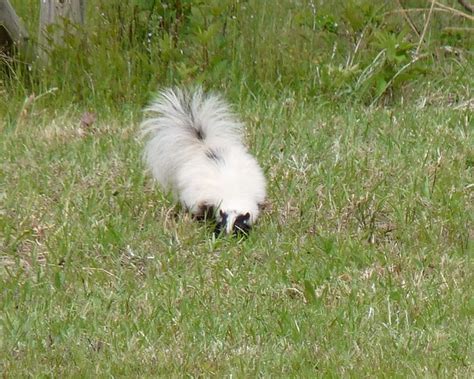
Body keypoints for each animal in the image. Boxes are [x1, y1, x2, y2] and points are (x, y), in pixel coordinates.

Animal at [141, 88, 266, 235]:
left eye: (239, 223)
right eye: (224, 221)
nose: (228, 233)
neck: (234, 192)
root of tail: (204, 147)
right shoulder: (205, 200)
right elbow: (203, 211)